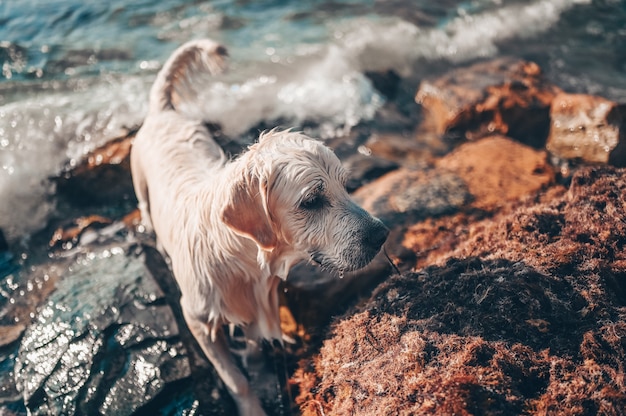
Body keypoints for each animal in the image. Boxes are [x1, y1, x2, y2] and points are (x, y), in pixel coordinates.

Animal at [130, 38, 388, 412]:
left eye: (345, 185)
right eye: (311, 200)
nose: (382, 235)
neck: (241, 260)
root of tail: (162, 111)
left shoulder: (262, 300)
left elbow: (253, 343)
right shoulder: (197, 319)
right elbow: (235, 380)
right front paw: (251, 407)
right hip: (141, 190)